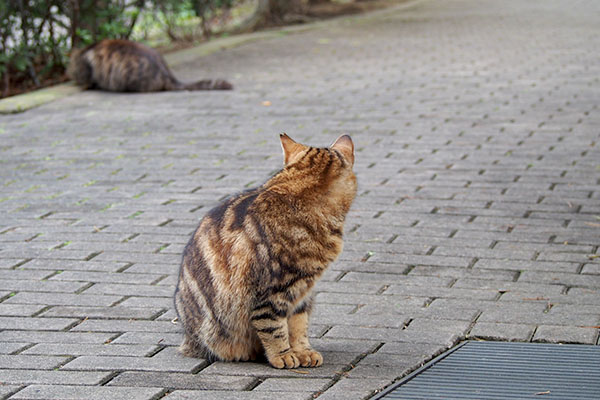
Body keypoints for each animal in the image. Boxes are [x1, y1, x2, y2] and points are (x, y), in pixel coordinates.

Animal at [173, 134, 356, 368]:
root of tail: (188, 340)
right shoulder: (270, 293)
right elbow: (274, 328)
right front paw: (283, 355)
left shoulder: (302, 294)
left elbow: (298, 326)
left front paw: (302, 351)